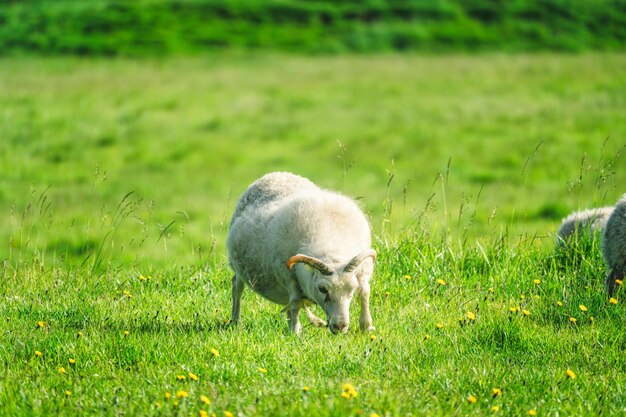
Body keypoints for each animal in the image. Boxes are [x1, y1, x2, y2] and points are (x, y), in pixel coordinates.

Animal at [225, 171, 376, 334]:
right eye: (322, 289)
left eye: (351, 289)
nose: (340, 326)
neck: (333, 245)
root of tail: (277, 174)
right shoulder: (288, 276)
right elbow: (296, 300)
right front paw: (295, 331)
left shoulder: (363, 270)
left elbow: (365, 292)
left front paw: (367, 326)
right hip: (238, 266)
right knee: (237, 286)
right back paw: (236, 320)